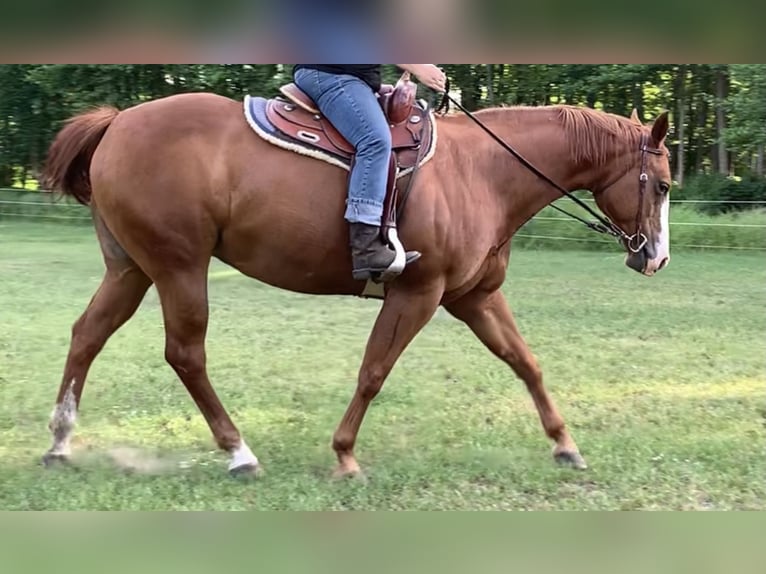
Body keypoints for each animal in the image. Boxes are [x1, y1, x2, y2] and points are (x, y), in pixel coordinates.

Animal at [40, 92, 672, 480]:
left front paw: (565, 444)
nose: (657, 257)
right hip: (179, 266)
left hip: (131, 268)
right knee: (185, 353)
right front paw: (345, 456)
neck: (483, 173)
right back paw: (240, 453)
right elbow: (374, 371)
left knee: (87, 334)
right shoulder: (418, 294)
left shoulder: (474, 297)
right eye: (663, 185)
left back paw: (59, 443)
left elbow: (526, 363)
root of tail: (119, 122)